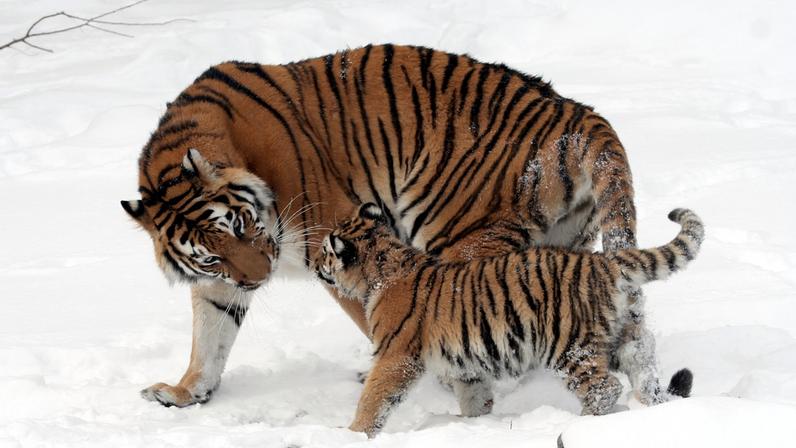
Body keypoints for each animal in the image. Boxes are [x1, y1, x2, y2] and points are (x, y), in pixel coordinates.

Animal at [121, 44, 658, 409]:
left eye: (240, 225)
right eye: (212, 254)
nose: (259, 278)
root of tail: (578, 114)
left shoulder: (332, 237)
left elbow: (376, 315)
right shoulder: (220, 281)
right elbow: (209, 334)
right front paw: (185, 392)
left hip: (461, 236)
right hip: (566, 245)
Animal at [314, 203, 703, 437]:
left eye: (325, 252)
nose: (315, 264)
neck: (382, 267)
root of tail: (604, 262)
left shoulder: (396, 356)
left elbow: (374, 398)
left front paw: (352, 434)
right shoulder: (465, 363)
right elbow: (474, 396)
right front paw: (472, 423)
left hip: (569, 347)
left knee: (604, 388)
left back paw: (579, 425)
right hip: (624, 338)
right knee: (644, 370)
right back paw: (651, 410)